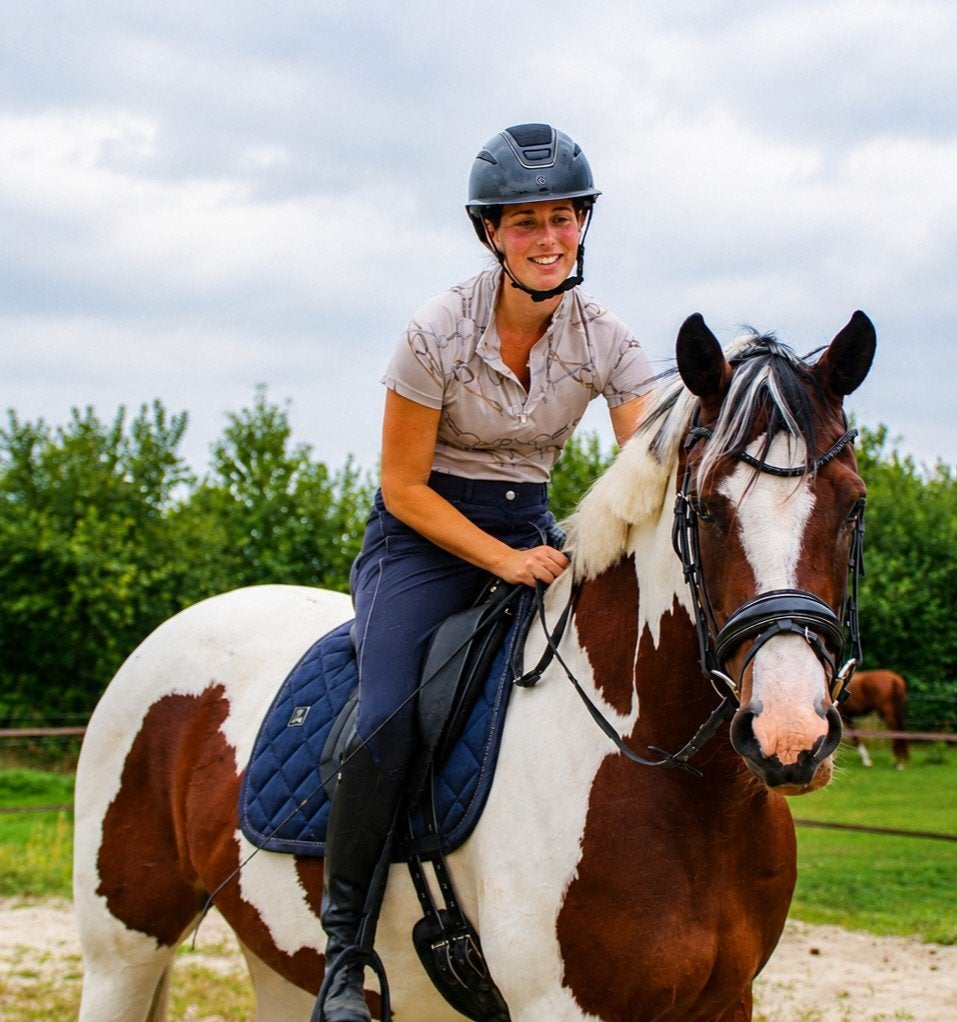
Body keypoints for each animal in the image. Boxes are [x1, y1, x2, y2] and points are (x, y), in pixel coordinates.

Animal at [73, 310, 876, 1021]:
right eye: (707, 509)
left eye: (853, 507)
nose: (788, 736)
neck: (683, 790)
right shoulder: (563, 1009)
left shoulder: (725, 1003)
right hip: (122, 953)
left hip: (275, 959)